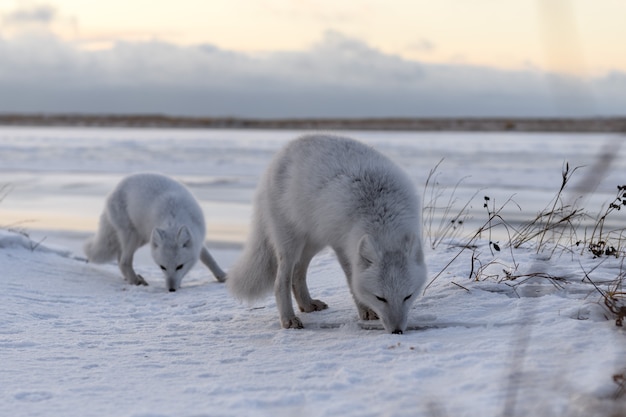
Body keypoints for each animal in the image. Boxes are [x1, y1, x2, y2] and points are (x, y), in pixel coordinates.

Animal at [84, 171, 225, 290]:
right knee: (124, 261)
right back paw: (135, 280)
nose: (171, 289)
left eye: (180, 266)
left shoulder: (198, 240)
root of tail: (113, 191)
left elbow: (209, 259)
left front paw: (222, 275)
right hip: (132, 236)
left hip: (143, 238)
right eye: (163, 267)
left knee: (120, 256)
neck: (173, 219)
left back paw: (129, 277)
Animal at [224, 135, 424, 334]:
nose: (397, 331)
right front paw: (365, 310)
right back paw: (288, 319)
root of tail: (285, 149)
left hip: (313, 242)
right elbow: (352, 281)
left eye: (408, 296)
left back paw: (307, 304)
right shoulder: (341, 245)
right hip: (290, 244)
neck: (381, 215)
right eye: (380, 298)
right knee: (281, 281)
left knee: (298, 273)